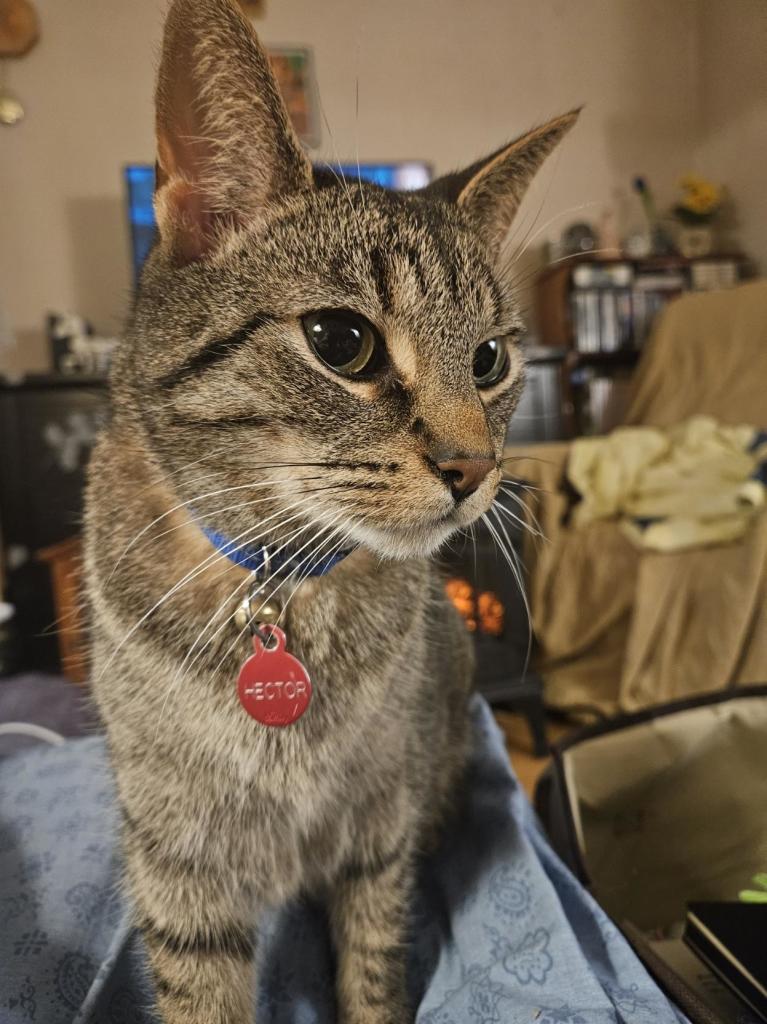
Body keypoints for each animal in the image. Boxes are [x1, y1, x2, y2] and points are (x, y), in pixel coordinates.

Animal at [83, 2, 573, 1024]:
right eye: (341, 341)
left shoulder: (377, 836)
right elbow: (200, 994)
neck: (279, 587)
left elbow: (375, 970)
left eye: (490, 359)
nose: (475, 466)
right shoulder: (177, 863)